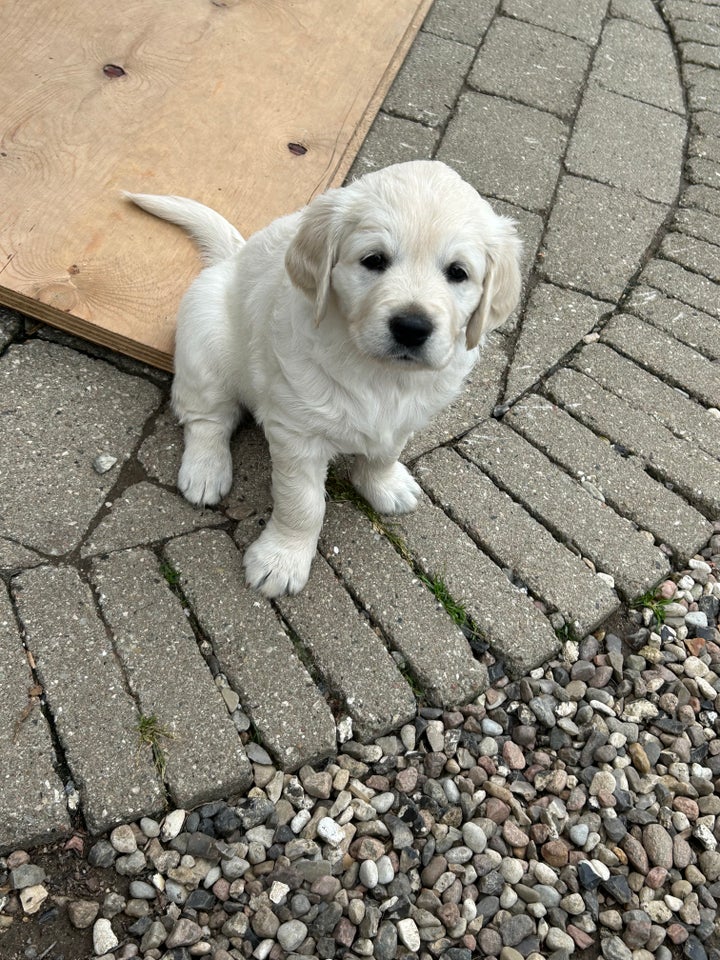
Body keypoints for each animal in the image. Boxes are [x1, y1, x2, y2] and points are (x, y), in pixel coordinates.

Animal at [126, 164, 520, 596]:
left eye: (457, 273)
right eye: (374, 260)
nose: (412, 327)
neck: (379, 374)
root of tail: (232, 257)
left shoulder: (407, 416)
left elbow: (385, 452)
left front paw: (384, 485)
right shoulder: (298, 432)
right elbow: (304, 504)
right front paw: (281, 560)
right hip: (205, 342)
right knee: (207, 418)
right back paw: (205, 470)